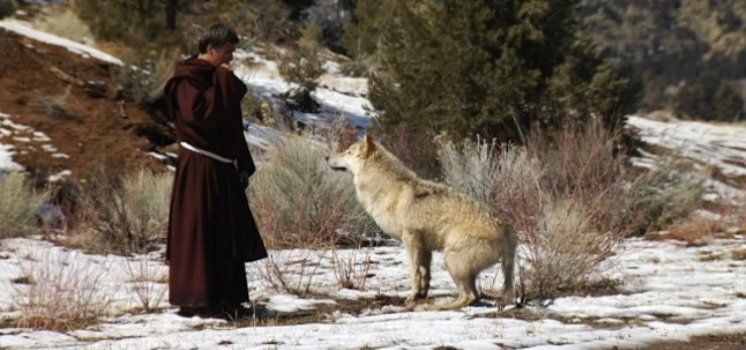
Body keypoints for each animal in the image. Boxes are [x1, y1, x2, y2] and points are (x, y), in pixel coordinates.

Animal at [326, 135, 516, 310]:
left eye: (348, 152)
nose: (327, 157)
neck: (387, 188)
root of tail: (508, 230)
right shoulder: (425, 247)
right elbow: (425, 274)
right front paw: (421, 295)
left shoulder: (411, 239)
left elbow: (415, 272)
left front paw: (412, 298)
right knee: (473, 296)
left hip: (451, 260)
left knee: (470, 296)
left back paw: (438, 305)